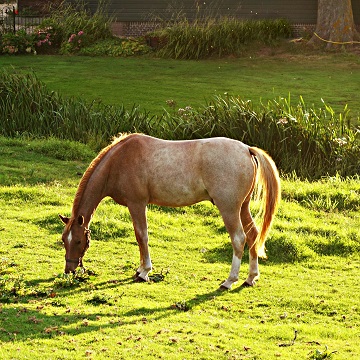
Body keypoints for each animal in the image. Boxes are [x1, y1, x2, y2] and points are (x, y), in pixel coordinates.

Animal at [59, 133, 280, 290]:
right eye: (63, 240)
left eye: (78, 241)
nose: (69, 270)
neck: (119, 160)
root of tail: (246, 149)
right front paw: (140, 268)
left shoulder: (137, 204)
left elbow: (141, 236)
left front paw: (144, 272)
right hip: (242, 207)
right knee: (253, 235)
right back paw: (250, 278)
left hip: (229, 209)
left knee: (239, 239)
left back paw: (229, 280)